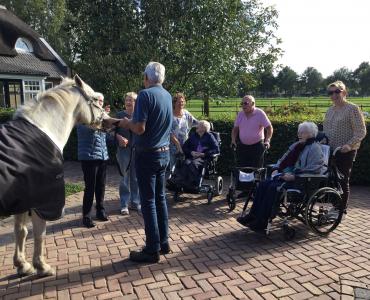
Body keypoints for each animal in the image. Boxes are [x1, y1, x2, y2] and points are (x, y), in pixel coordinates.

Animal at [2, 75, 108, 276]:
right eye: (98, 99)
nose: (108, 121)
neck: (44, 128)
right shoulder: (43, 202)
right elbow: (39, 233)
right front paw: (42, 266)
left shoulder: (22, 199)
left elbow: (21, 231)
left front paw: (23, 265)